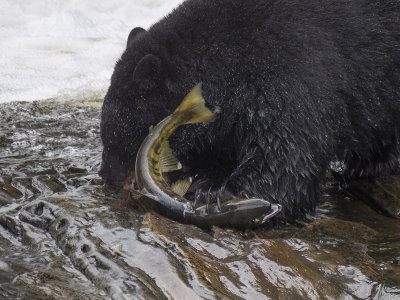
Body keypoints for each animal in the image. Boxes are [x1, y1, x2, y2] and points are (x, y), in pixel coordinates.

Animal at [98, 0, 398, 223]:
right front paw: (203, 179)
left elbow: (288, 154)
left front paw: (224, 195)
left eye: (116, 136)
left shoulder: (289, 70)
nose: (106, 176)